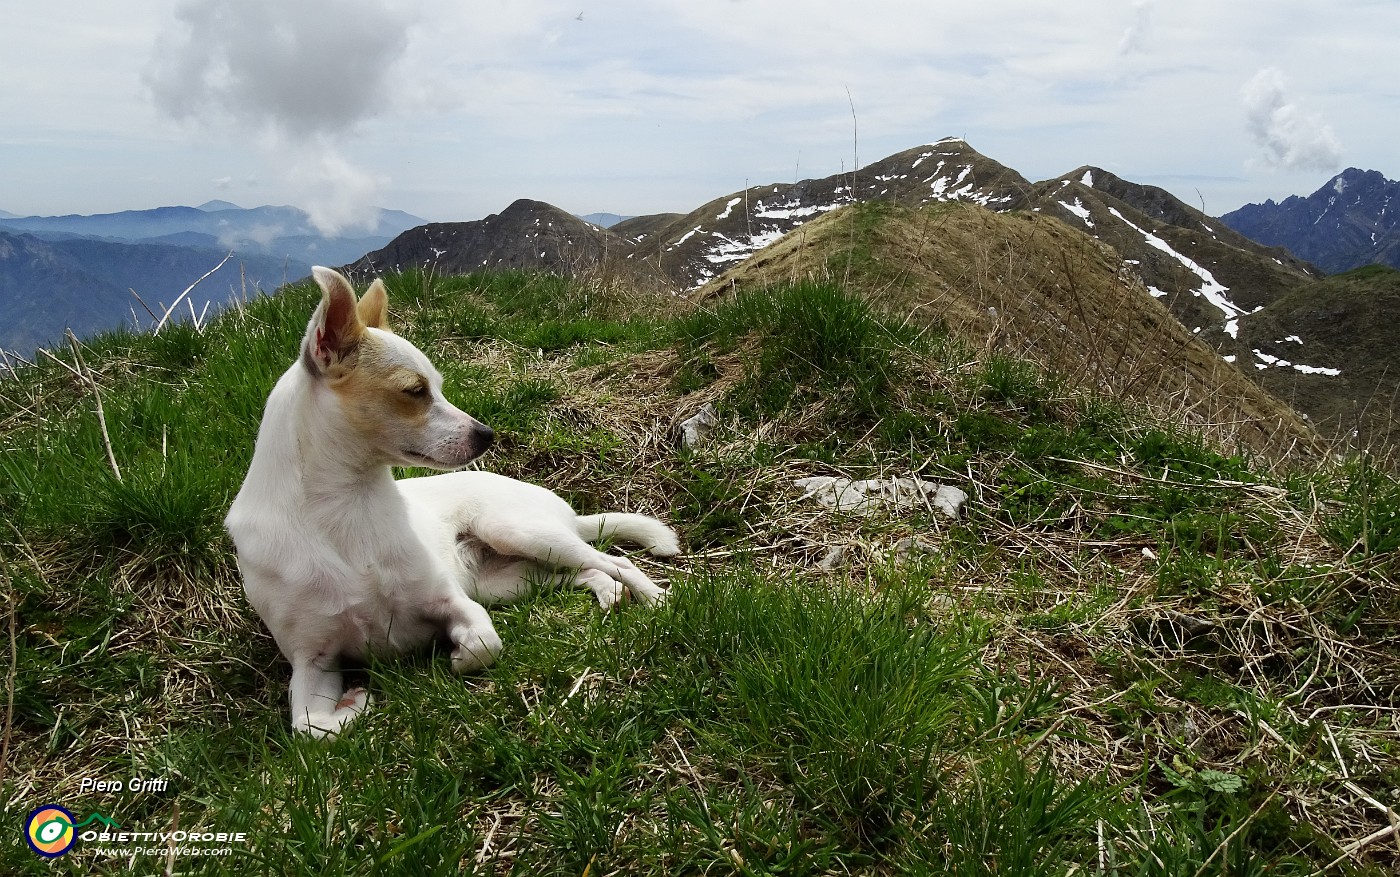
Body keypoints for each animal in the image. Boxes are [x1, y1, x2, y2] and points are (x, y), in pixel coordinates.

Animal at [226, 267, 680, 739]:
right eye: (414, 390)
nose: (487, 435)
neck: (346, 509)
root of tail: (567, 513)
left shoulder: (453, 601)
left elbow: (484, 642)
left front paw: (458, 654)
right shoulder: (312, 662)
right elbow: (311, 727)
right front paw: (354, 703)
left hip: (520, 535)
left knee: (616, 561)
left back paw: (656, 599)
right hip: (508, 580)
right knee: (584, 571)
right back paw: (610, 593)